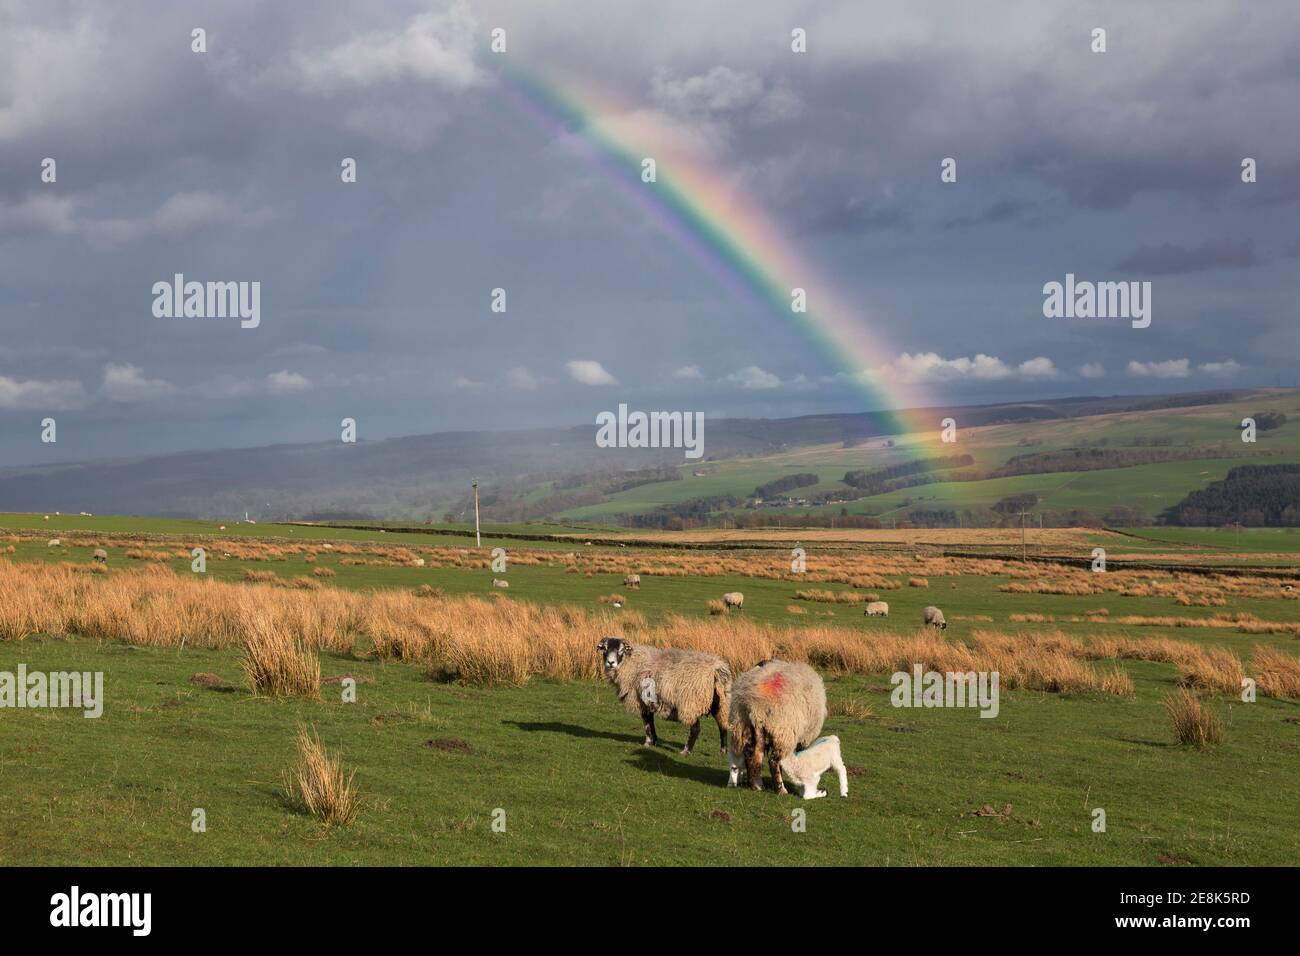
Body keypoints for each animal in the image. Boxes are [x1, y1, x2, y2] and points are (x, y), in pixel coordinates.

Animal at [598, 639, 733, 759]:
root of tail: (715, 669)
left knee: (695, 729)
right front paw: (654, 741)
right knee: (723, 726)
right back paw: (723, 751)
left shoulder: (641, 700)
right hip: (721, 701)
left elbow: (646, 722)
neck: (631, 663)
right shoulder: (648, 702)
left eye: (621, 650)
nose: (610, 663)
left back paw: (686, 751)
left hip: (690, 702)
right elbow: (650, 721)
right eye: (605, 648)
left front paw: (648, 742)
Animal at [728, 660, 826, 796]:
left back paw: (756, 785)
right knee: (773, 761)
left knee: (750, 754)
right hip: (783, 732)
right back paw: (781, 789)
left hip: (744, 725)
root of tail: (755, 705)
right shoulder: (802, 739)